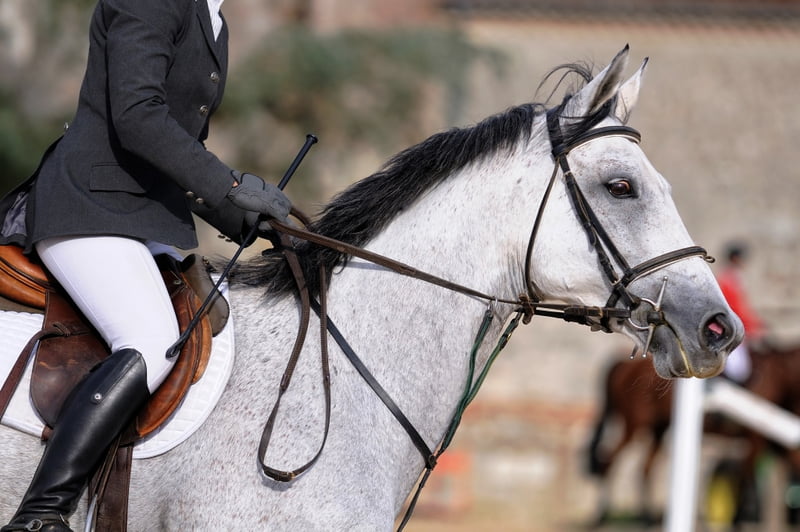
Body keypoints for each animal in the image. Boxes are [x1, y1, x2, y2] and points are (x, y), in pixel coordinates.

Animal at [588, 342, 800, 524]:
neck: (778, 376)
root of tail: (624, 365)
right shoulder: (755, 439)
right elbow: (745, 477)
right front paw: (738, 518)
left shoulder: (776, 443)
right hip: (634, 426)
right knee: (609, 461)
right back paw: (602, 514)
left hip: (658, 430)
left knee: (645, 468)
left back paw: (646, 516)